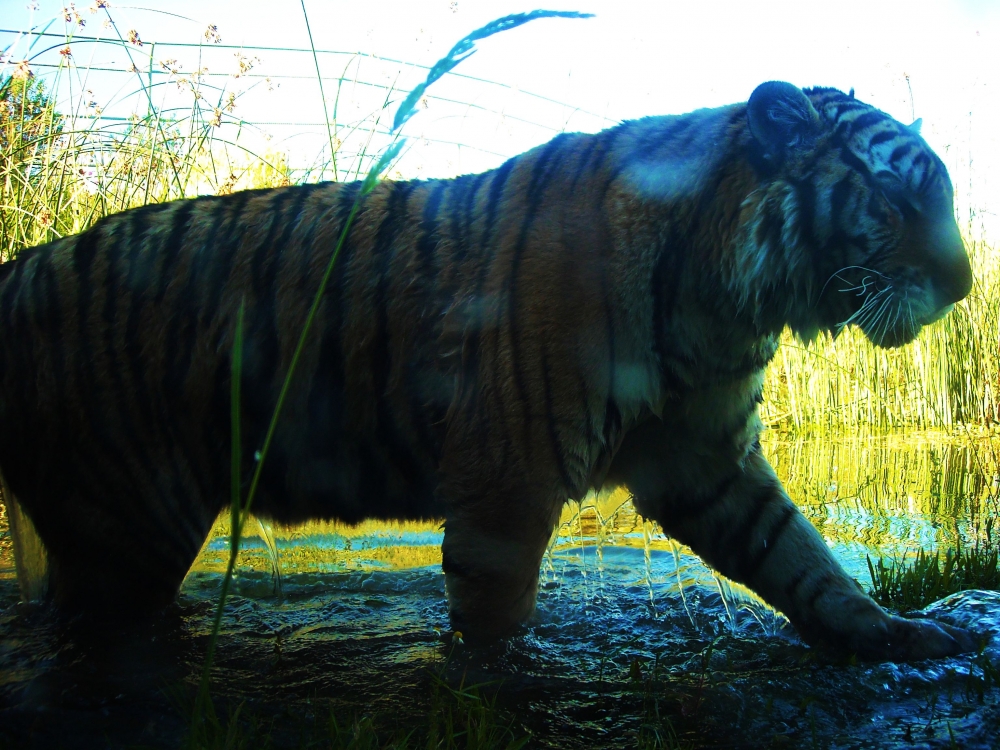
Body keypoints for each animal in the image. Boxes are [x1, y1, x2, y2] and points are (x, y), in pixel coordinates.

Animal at [0, 79, 972, 660]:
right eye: (899, 199)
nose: (966, 282)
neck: (730, 305)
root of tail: (26, 265)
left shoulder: (707, 461)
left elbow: (799, 557)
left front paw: (898, 635)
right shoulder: (508, 485)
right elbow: (496, 629)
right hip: (128, 524)